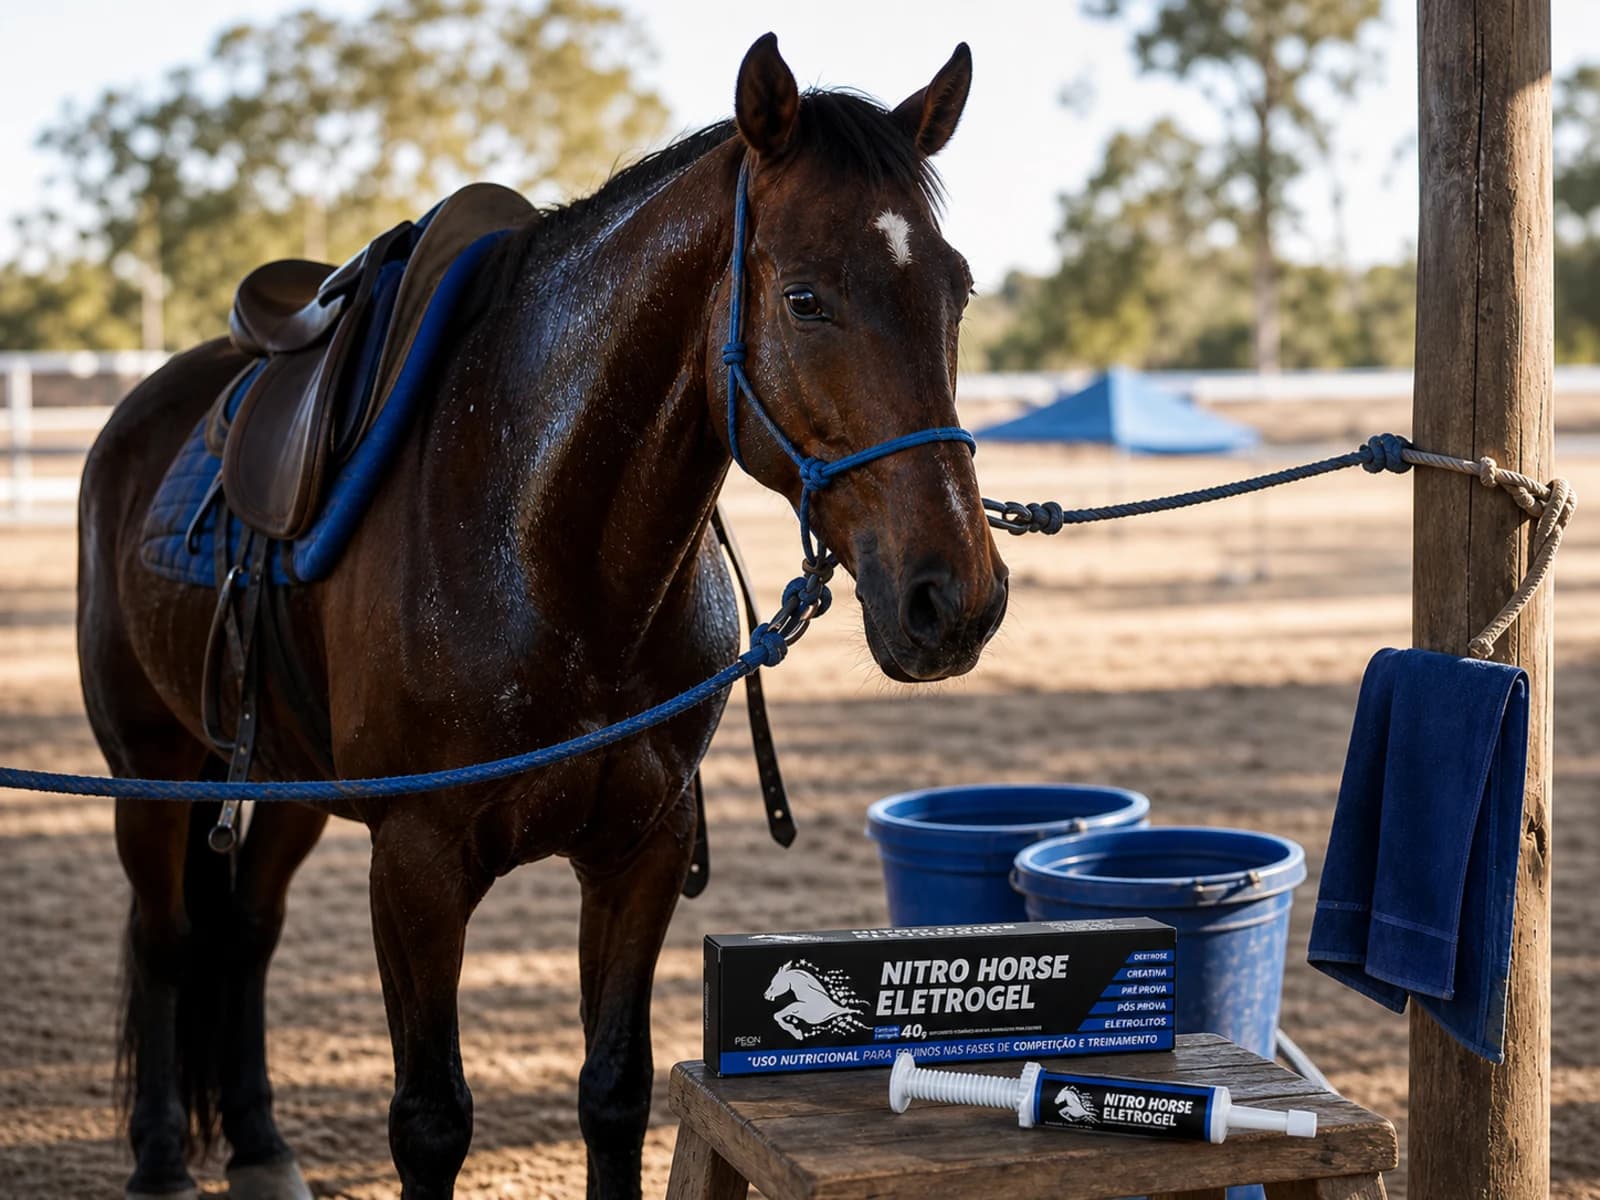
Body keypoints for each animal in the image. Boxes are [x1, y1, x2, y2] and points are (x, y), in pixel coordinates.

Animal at [77, 33, 1008, 1199]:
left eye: (958, 290)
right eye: (804, 299)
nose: (954, 596)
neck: (548, 555)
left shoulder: (642, 850)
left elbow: (612, 1091)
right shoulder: (418, 866)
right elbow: (430, 1121)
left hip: (283, 783)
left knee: (243, 933)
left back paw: (260, 1148)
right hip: (146, 769)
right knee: (163, 942)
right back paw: (162, 1159)